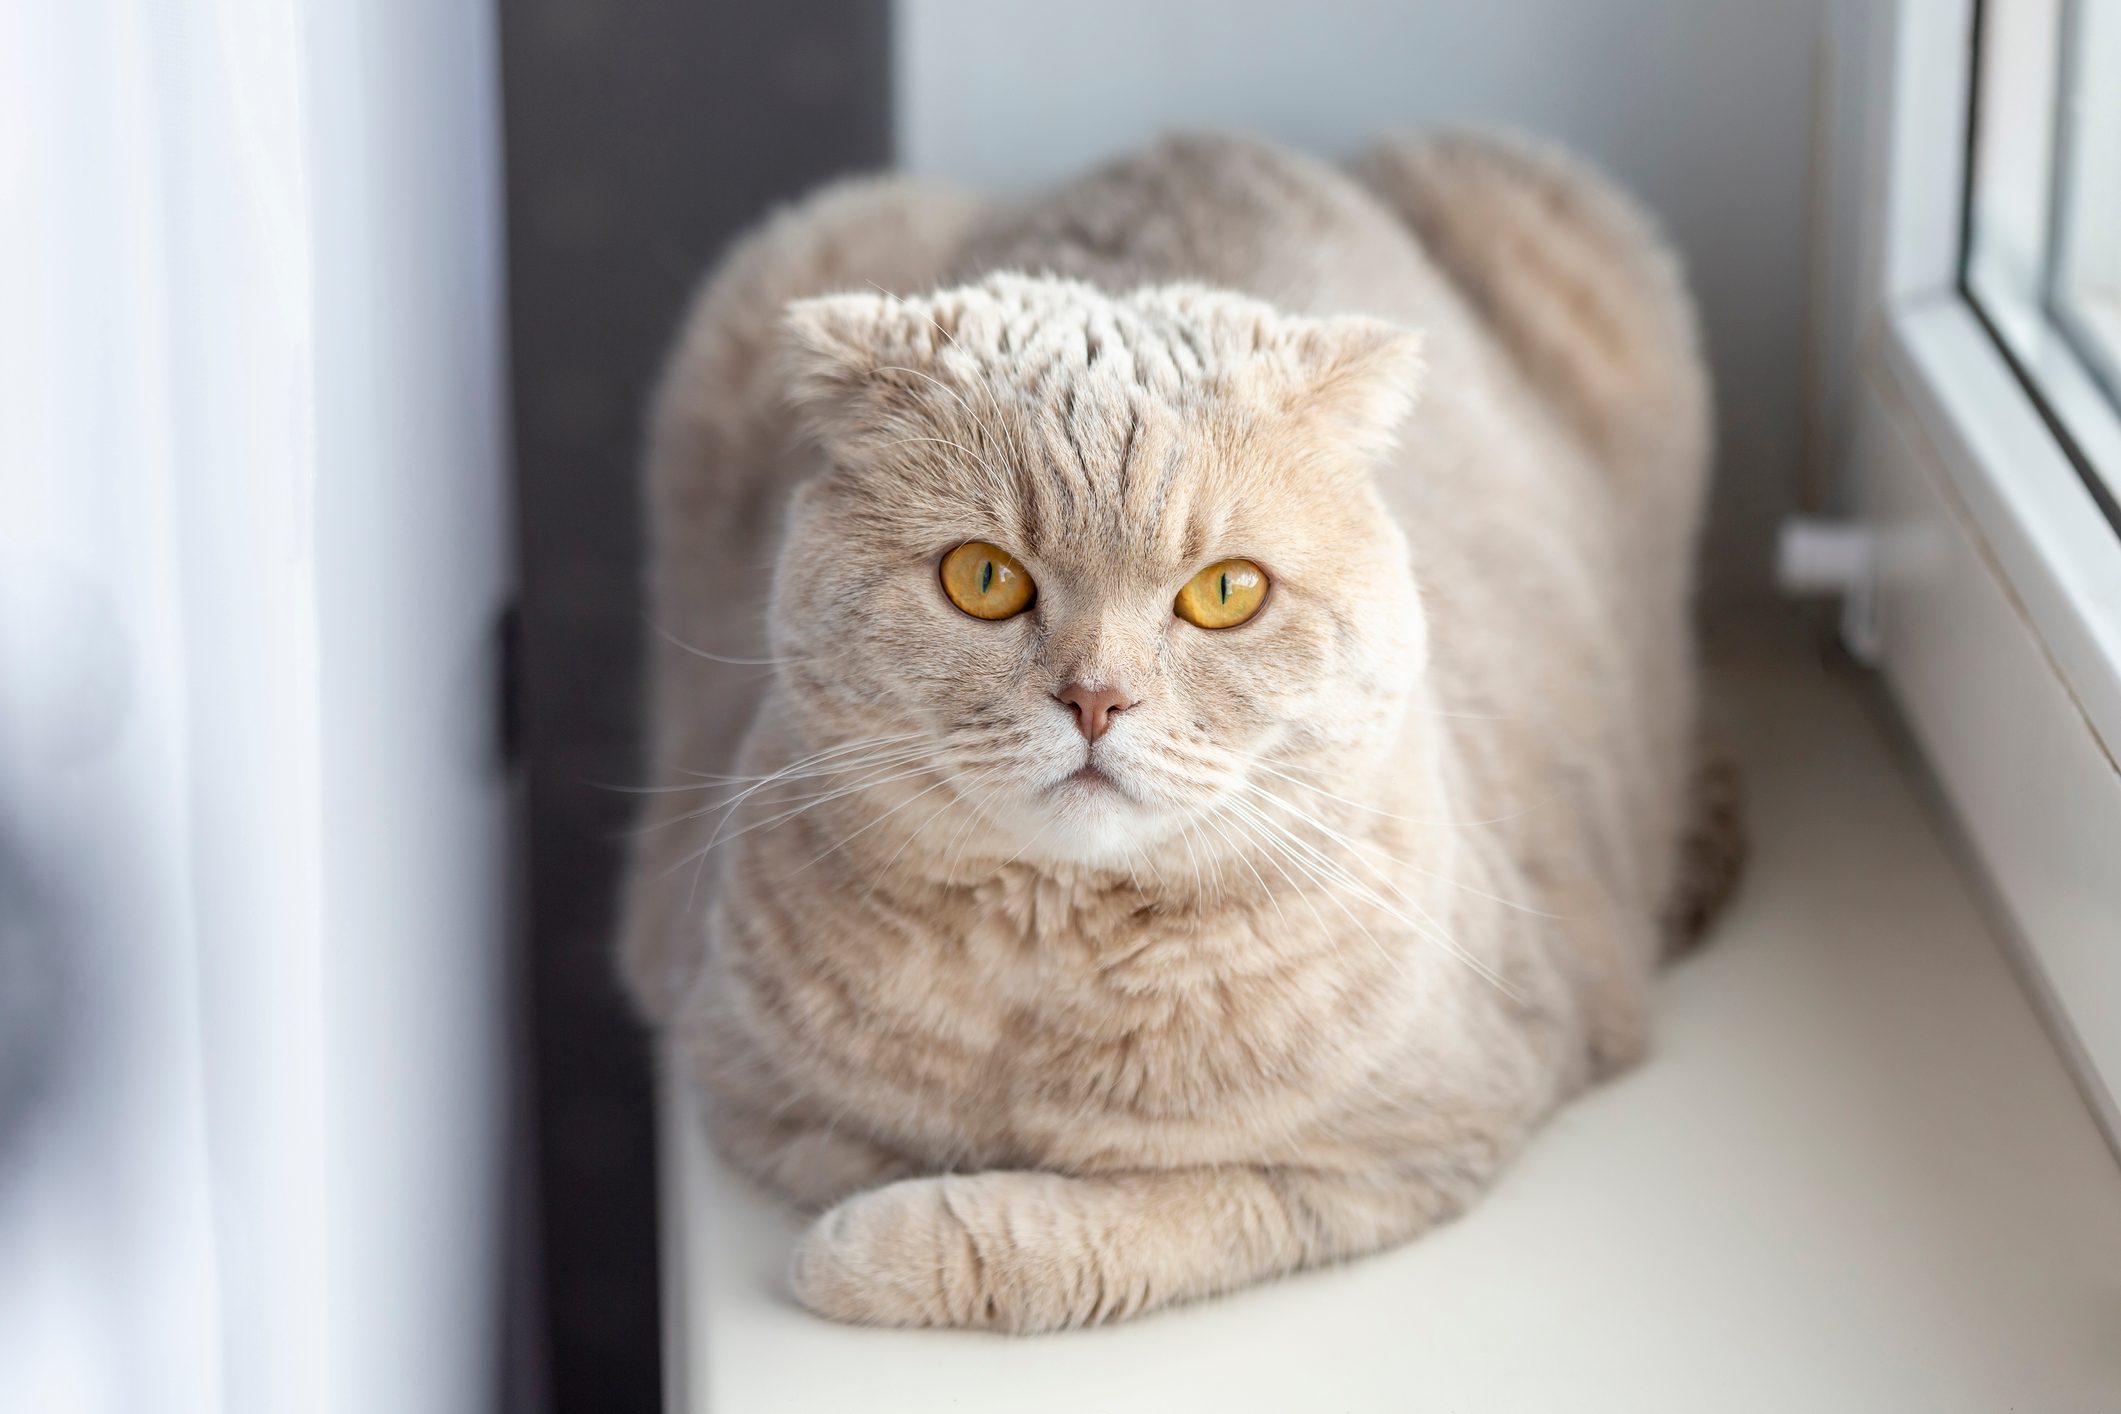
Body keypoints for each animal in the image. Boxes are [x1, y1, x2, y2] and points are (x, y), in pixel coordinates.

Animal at [619, 127, 1739, 1331]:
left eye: (1225, 593)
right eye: (983, 579)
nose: (1096, 698)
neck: (1053, 959)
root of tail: (1199, 138)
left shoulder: (1412, 1142)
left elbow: (1114, 1216)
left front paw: (879, 1245)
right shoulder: (729, 1063)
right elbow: (872, 1143)